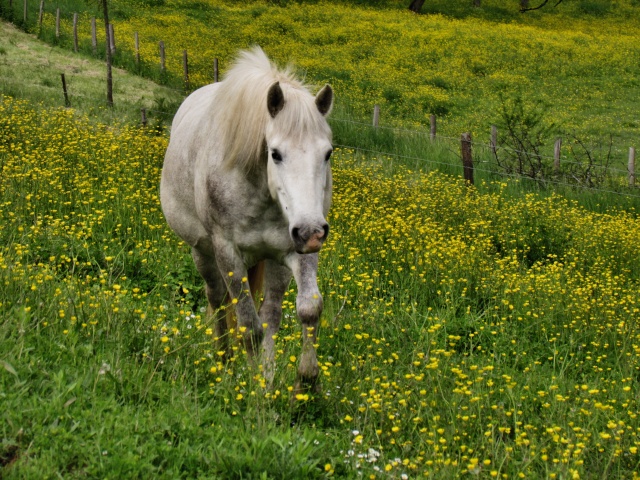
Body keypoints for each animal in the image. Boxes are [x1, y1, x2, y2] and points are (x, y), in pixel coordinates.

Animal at [159, 46, 336, 390]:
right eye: (275, 153)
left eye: (328, 153)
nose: (311, 231)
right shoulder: (228, 252)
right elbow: (247, 326)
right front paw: (253, 389)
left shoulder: (296, 250)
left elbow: (307, 309)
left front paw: (303, 381)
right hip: (203, 252)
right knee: (217, 300)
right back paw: (224, 360)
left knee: (271, 314)